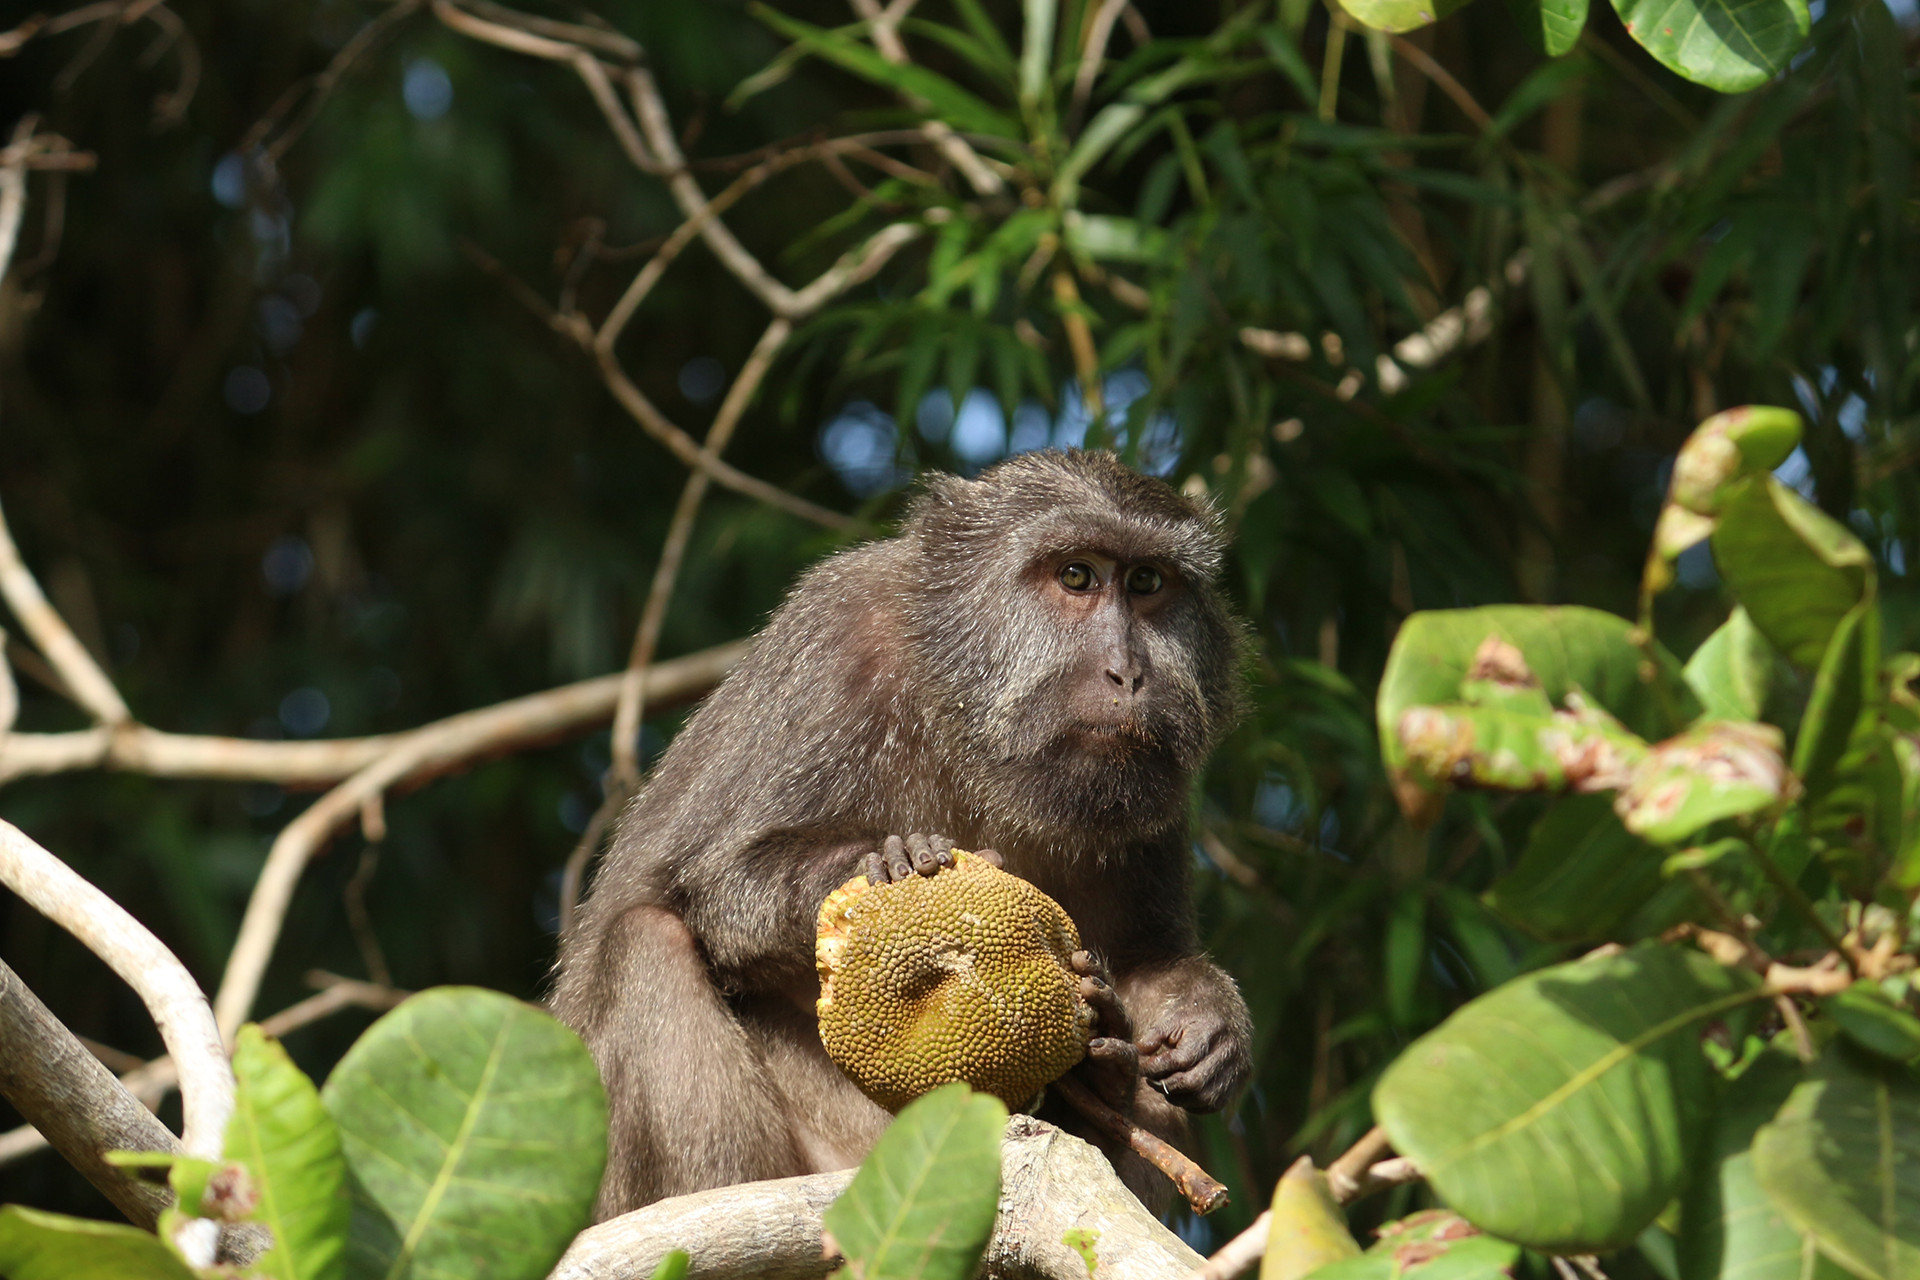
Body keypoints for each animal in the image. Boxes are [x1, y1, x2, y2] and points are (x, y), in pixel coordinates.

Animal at [550, 448, 1253, 1218]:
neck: (973, 728)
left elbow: (1145, 958)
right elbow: (723, 885)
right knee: (642, 939)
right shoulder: (835, 645)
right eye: (1077, 576)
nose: (1128, 673)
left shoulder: (1151, 789)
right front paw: (887, 860)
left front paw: (1207, 1024)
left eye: (1147, 583)